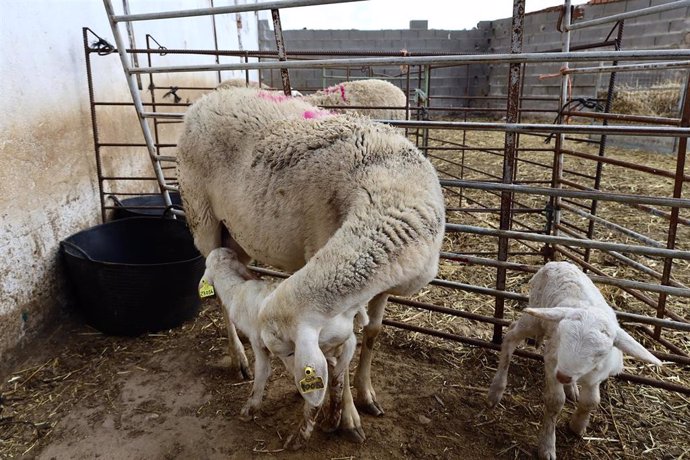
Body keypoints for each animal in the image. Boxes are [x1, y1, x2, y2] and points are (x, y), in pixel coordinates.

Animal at [199, 248, 366, 450]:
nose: (227, 249)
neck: (235, 290)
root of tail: (345, 318)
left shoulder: (257, 341)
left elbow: (262, 372)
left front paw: (250, 409)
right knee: (337, 374)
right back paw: (332, 419)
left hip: (309, 348)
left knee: (321, 382)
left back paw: (300, 436)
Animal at [486, 262, 660, 460]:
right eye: (562, 336)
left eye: (600, 354)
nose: (563, 376)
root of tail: (556, 263)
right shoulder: (552, 362)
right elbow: (555, 402)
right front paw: (547, 446)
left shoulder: (596, 376)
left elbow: (591, 401)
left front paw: (578, 425)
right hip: (536, 317)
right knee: (511, 335)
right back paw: (496, 390)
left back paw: (572, 389)